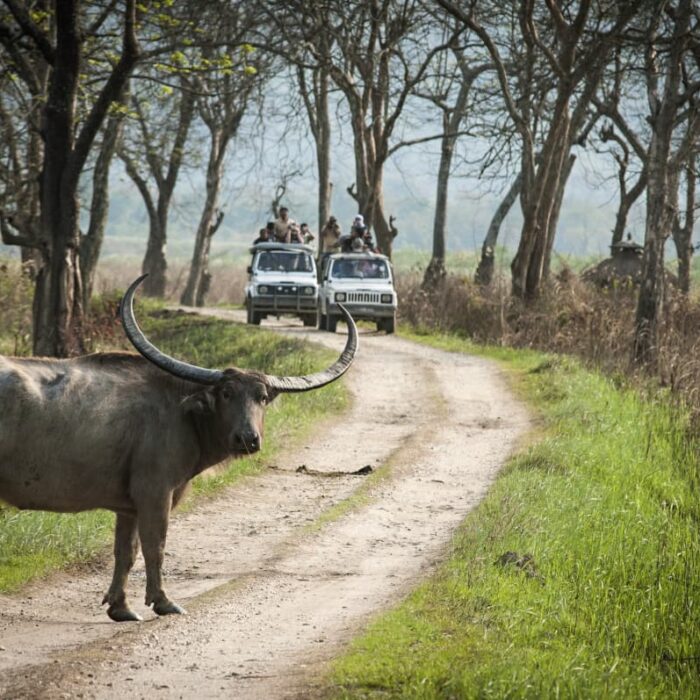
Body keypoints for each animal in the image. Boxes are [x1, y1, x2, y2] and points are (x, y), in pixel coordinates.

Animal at [0, 275, 357, 621]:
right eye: (226, 393)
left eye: (262, 397)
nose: (248, 438)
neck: (182, 412)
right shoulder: (155, 493)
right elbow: (155, 547)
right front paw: (163, 602)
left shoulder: (128, 506)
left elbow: (125, 552)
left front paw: (120, 607)